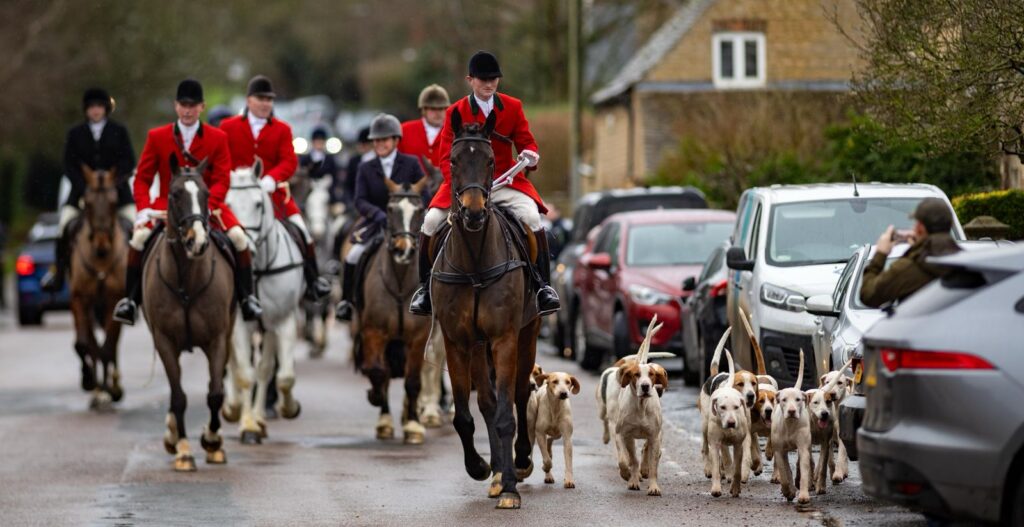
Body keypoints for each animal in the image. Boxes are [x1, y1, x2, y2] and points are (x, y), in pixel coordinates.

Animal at [142, 154, 234, 472]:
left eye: (206, 194)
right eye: (174, 194)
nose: (198, 241)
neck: (186, 280)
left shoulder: (218, 339)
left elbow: (215, 392)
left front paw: (213, 441)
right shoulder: (164, 341)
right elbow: (179, 396)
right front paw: (183, 449)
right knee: (175, 392)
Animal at [223, 160, 305, 446]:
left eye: (259, 204)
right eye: (227, 205)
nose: (246, 248)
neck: (256, 269)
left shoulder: (283, 320)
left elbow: (283, 376)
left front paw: (288, 408)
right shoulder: (238, 325)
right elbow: (244, 375)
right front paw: (247, 425)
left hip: (267, 327)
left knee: (265, 368)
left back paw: (259, 416)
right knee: (234, 365)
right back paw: (234, 408)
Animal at [352, 178, 432, 446]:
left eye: (419, 210)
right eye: (389, 209)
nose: (403, 249)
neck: (399, 283)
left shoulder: (418, 338)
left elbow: (414, 382)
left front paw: (414, 427)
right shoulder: (374, 333)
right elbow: (379, 373)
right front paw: (378, 405)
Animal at [432, 112, 544, 511]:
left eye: (492, 161)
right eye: (453, 161)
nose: (474, 213)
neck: (475, 263)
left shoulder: (504, 338)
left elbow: (507, 413)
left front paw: (510, 486)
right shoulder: (457, 340)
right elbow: (466, 415)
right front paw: (482, 468)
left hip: (528, 333)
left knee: (521, 394)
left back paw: (519, 463)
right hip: (478, 347)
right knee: (486, 402)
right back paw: (496, 471)